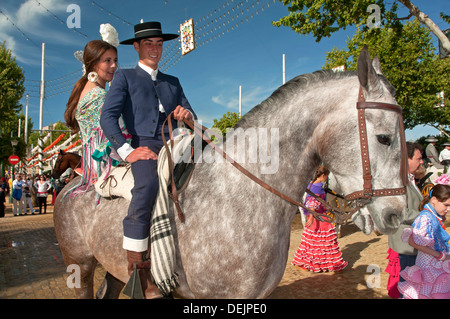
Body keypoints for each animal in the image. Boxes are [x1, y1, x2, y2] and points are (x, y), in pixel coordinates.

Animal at [54, 48, 406, 300]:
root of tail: (73, 185)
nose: (396, 215)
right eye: (384, 137)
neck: (240, 197)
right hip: (80, 266)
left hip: (115, 269)